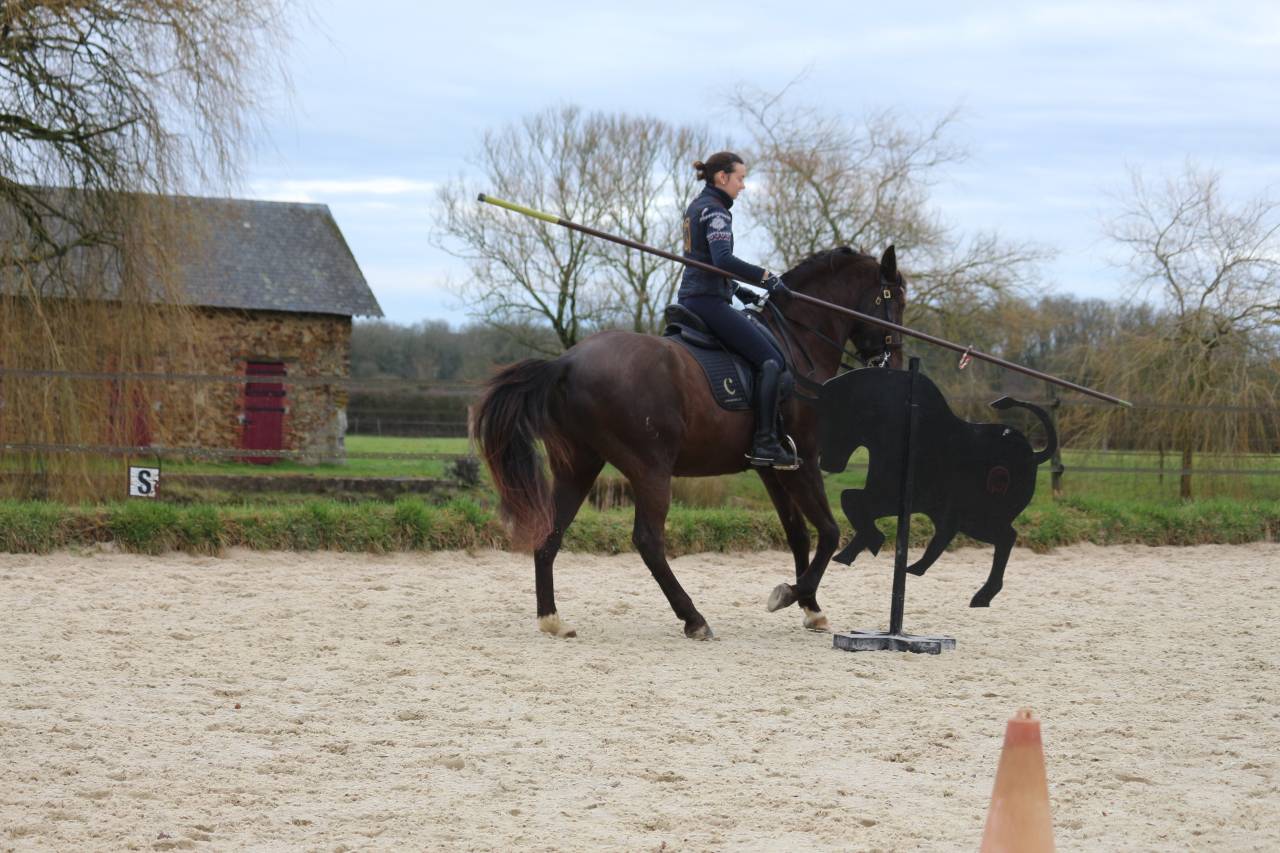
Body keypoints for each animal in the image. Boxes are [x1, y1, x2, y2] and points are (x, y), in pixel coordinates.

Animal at [470, 246, 906, 639]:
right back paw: (694, 618)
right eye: (895, 300)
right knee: (648, 541)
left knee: (551, 532)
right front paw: (789, 594)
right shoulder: (804, 462)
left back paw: (552, 620)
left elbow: (797, 533)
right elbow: (830, 531)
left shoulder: (773, 469)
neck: (798, 342)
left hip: (579, 465)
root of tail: (566, 362)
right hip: (649, 468)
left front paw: (811, 608)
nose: (895, 365)